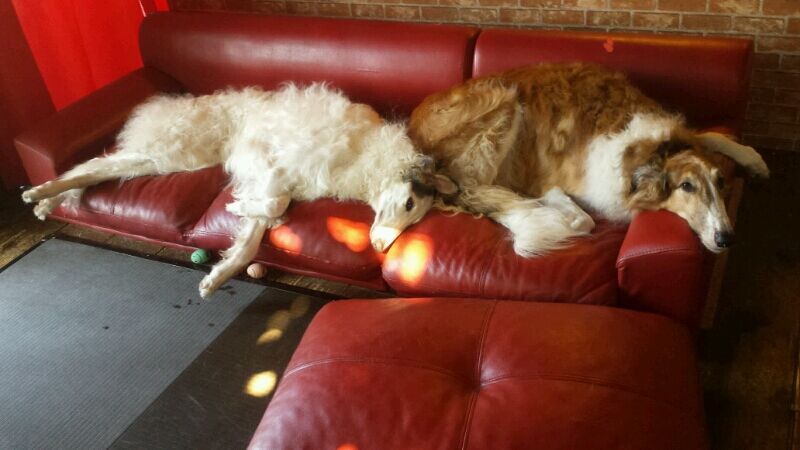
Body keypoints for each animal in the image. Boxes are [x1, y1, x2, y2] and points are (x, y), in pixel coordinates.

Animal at [22, 83, 457, 297]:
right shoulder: (266, 161)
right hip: (175, 150)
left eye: (414, 216)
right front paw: (241, 207)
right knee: (94, 165)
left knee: (95, 169)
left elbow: (249, 241)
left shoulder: (278, 177)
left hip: (165, 159)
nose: (382, 247)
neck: (365, 152)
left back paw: (47, 202)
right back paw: (38, 192)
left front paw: (217, 276)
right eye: (408, 203)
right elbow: (272, 205)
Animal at [409, 63, 769, 256]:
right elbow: (583, 221)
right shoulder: (551, 183)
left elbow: (712, 135)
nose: (726, 238)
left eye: (721, 183)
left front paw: (754, 159)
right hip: (503, 100)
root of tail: (415, 123)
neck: (646, 151)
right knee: (470, 188)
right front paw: (555, 217)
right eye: (687, 186)